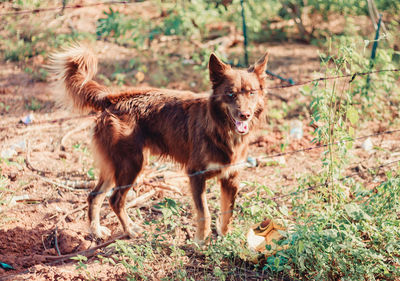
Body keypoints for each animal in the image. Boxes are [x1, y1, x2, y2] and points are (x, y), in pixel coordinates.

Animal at [50, 44, 268, 242]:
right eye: (231, 94)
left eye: (251, 93)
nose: (245, 115)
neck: (222, 129)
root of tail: (113, 99)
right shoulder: (196, 175)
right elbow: (204, 213)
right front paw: (200, 242)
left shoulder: (231, 178)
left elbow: (228, 212)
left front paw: (224, 238)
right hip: (132, 165)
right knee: (115, 200)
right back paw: (130, 230)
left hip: (114, 167)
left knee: (94, 195)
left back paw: (96, 231)